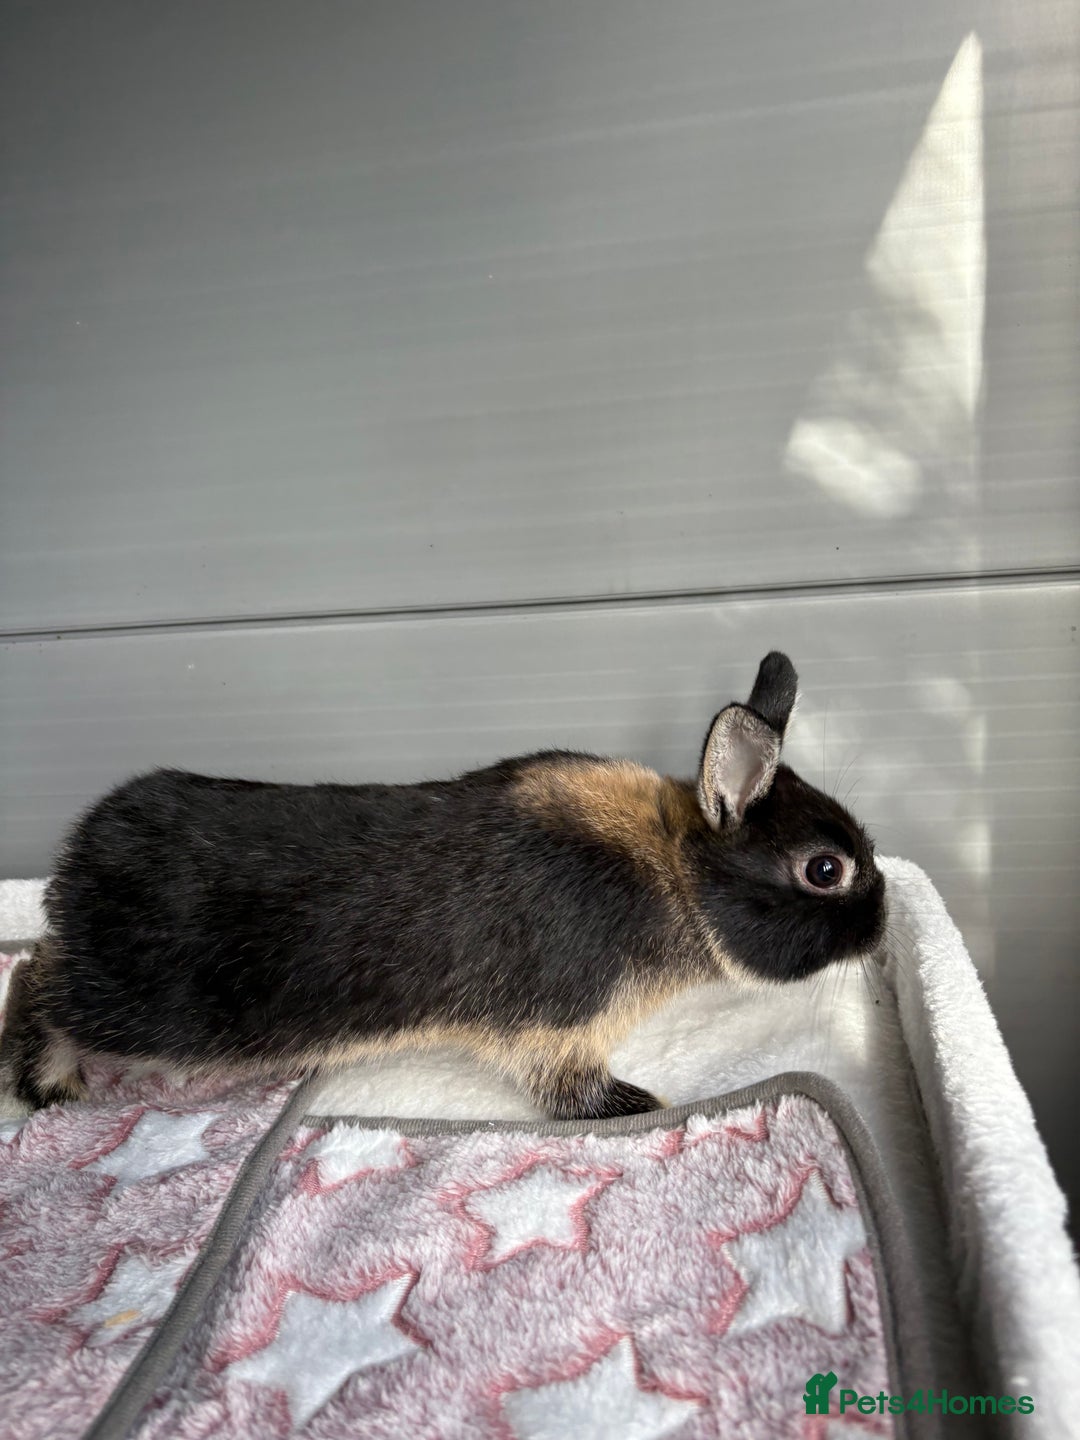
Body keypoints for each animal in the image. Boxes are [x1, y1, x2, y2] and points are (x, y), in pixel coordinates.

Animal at [1, 651, 885, 1120]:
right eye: (826, 870)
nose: (881, 929)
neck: (677, 871)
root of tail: (78, 859)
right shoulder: (559, 1030)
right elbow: (572, 1093)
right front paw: (644, 1107)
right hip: (146, 1008)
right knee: (34, 977)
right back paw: (48, 1084)